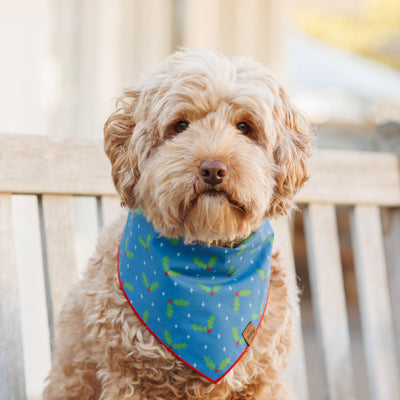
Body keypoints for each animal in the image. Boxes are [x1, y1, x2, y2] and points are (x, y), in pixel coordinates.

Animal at [44, 50, 312, 400]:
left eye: (245, 126)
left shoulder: (263, 379)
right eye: (180, 125)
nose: (213, 169)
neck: (205, 268)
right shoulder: (127, 378)